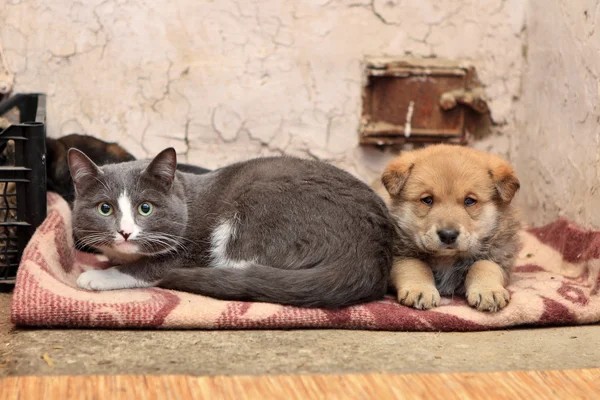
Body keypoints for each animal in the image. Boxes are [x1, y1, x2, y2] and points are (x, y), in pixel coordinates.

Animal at [68, 148, 396, 308]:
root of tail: (369, 253)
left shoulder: (187, 251)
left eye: (145, 208)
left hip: (261, 203)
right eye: (105, 208)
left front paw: (98, 275)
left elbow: (149, 268)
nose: (125, 232)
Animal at [380, 145, 520, 314]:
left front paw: (488, 291)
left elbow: (484, 266)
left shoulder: (500, 257)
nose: (448, 235)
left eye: (469, 201)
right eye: (427, 200)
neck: (446, 259)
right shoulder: (398, 256)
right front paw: (420, 290)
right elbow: (415, 266)